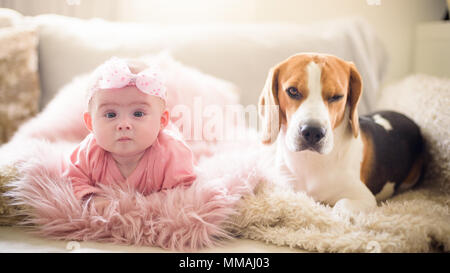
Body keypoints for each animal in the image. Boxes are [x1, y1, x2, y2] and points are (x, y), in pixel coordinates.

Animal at [258, 53, 424, 212]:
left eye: (337, 96)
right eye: (292, 91)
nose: (312, 132)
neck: (311, 161)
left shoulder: (365, 197)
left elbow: (341, 205)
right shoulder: (284, 189)